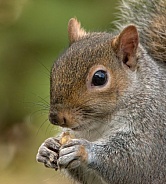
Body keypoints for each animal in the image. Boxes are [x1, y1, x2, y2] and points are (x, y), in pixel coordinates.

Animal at [36, 0, 166, 183]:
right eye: (55, 69)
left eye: (99, 78)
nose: (55, 118)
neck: (100, 124)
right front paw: (46, 148)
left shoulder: (154, 131)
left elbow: (136, 163)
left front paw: (83, 149)